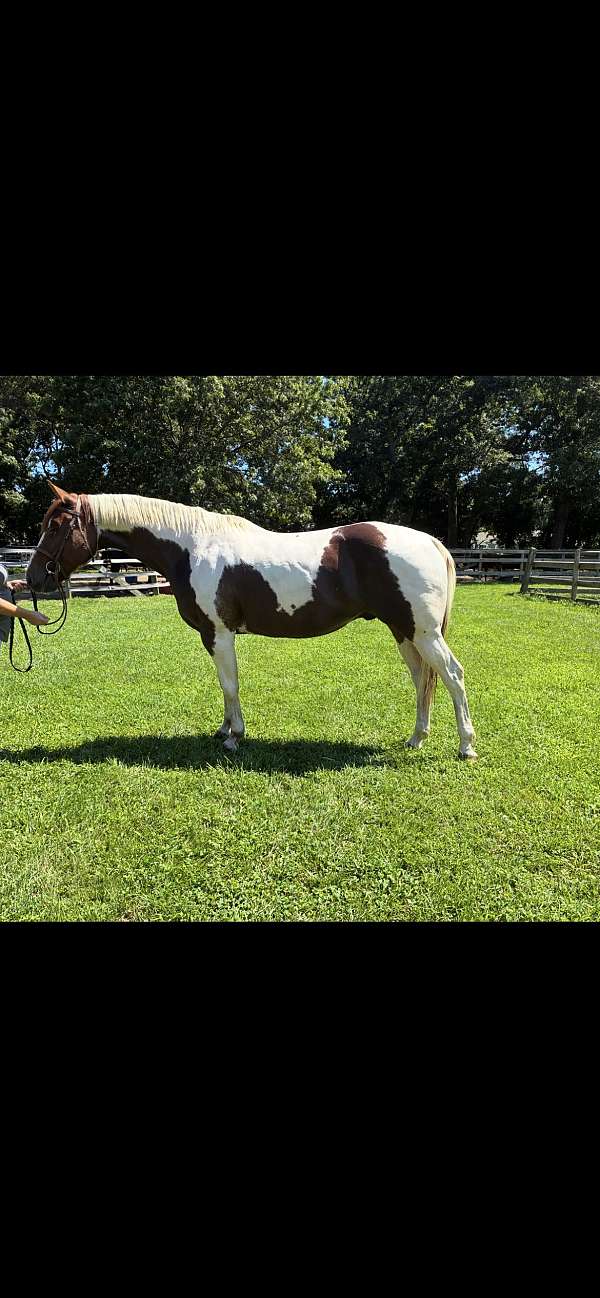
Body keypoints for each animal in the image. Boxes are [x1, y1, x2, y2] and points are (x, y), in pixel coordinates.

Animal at [26, 482, 477, 758]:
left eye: (57, 525)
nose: (33, 579)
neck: (190, 546)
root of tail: (431, 541)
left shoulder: (219, 633)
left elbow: (230, 684)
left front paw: (235, 737)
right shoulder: (214, 636)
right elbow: (224, 687)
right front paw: (224, 730)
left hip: (423, 632)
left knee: (452, 675)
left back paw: (466, 746)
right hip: (405, 631)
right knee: (423, 679)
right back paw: (417, 738)